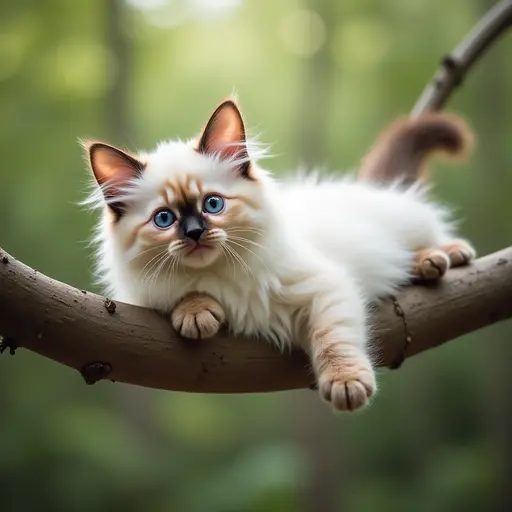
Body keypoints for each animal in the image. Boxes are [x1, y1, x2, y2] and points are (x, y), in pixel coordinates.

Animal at [85, 99, 476, 412]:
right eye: (164, 219)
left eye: (213, 204)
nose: (195, 233)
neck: (221, 275)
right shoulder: (148, 297)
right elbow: (184, 295)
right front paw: (196, 313)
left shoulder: (325, 289)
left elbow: (335, 340)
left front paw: (346, 383)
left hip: (406, 223)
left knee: (431, 232)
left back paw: (441, 257)